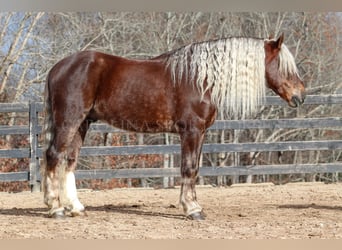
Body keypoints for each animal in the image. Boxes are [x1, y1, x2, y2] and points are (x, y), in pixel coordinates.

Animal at [40, 34, 304, 220]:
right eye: (284, 67)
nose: (300, 96)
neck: (201, 79)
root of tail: (57, 68)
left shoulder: (201, 133)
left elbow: (194, 169)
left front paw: (194, 206)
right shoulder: (191, 131)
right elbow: (188, 168)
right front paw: (192, 209)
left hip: (82, 123)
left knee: (69, 160)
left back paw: (76, 207)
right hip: (69, 121)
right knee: (54, 155)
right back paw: (56, 209)